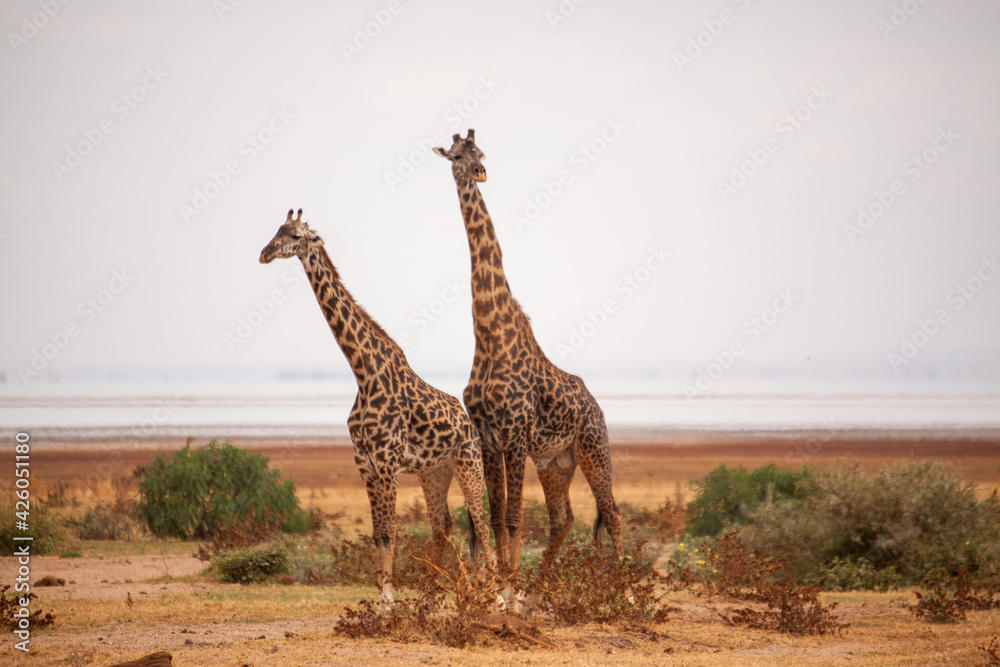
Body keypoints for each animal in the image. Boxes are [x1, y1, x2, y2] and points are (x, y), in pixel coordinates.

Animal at [260, 209, 497, 607]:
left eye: (295, 235)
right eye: (276, 230)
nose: (264, 253)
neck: (363, 373)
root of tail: (469, 425)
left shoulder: (387, 461)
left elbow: (389, 530)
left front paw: (387, 598)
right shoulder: (364, 463)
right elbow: (377, 532)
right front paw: (381, 597)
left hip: (468, 462)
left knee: (482, 525)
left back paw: (495, 597)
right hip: (434, 472)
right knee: (443, 526)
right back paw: (433, 597)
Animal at [433, 130, 624, 584]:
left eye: (479, 152)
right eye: (454, 155)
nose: (477, 171)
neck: (489, 336)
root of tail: (596, 405)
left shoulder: (515, 434)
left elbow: (515, 517)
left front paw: (508, 586)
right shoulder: (488, 437)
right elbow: (496, 517)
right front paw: (502, 583)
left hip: (594, 447)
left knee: (612, 512)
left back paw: (627, 590)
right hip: (556, 462)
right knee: (564, 518)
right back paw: (537, 589)